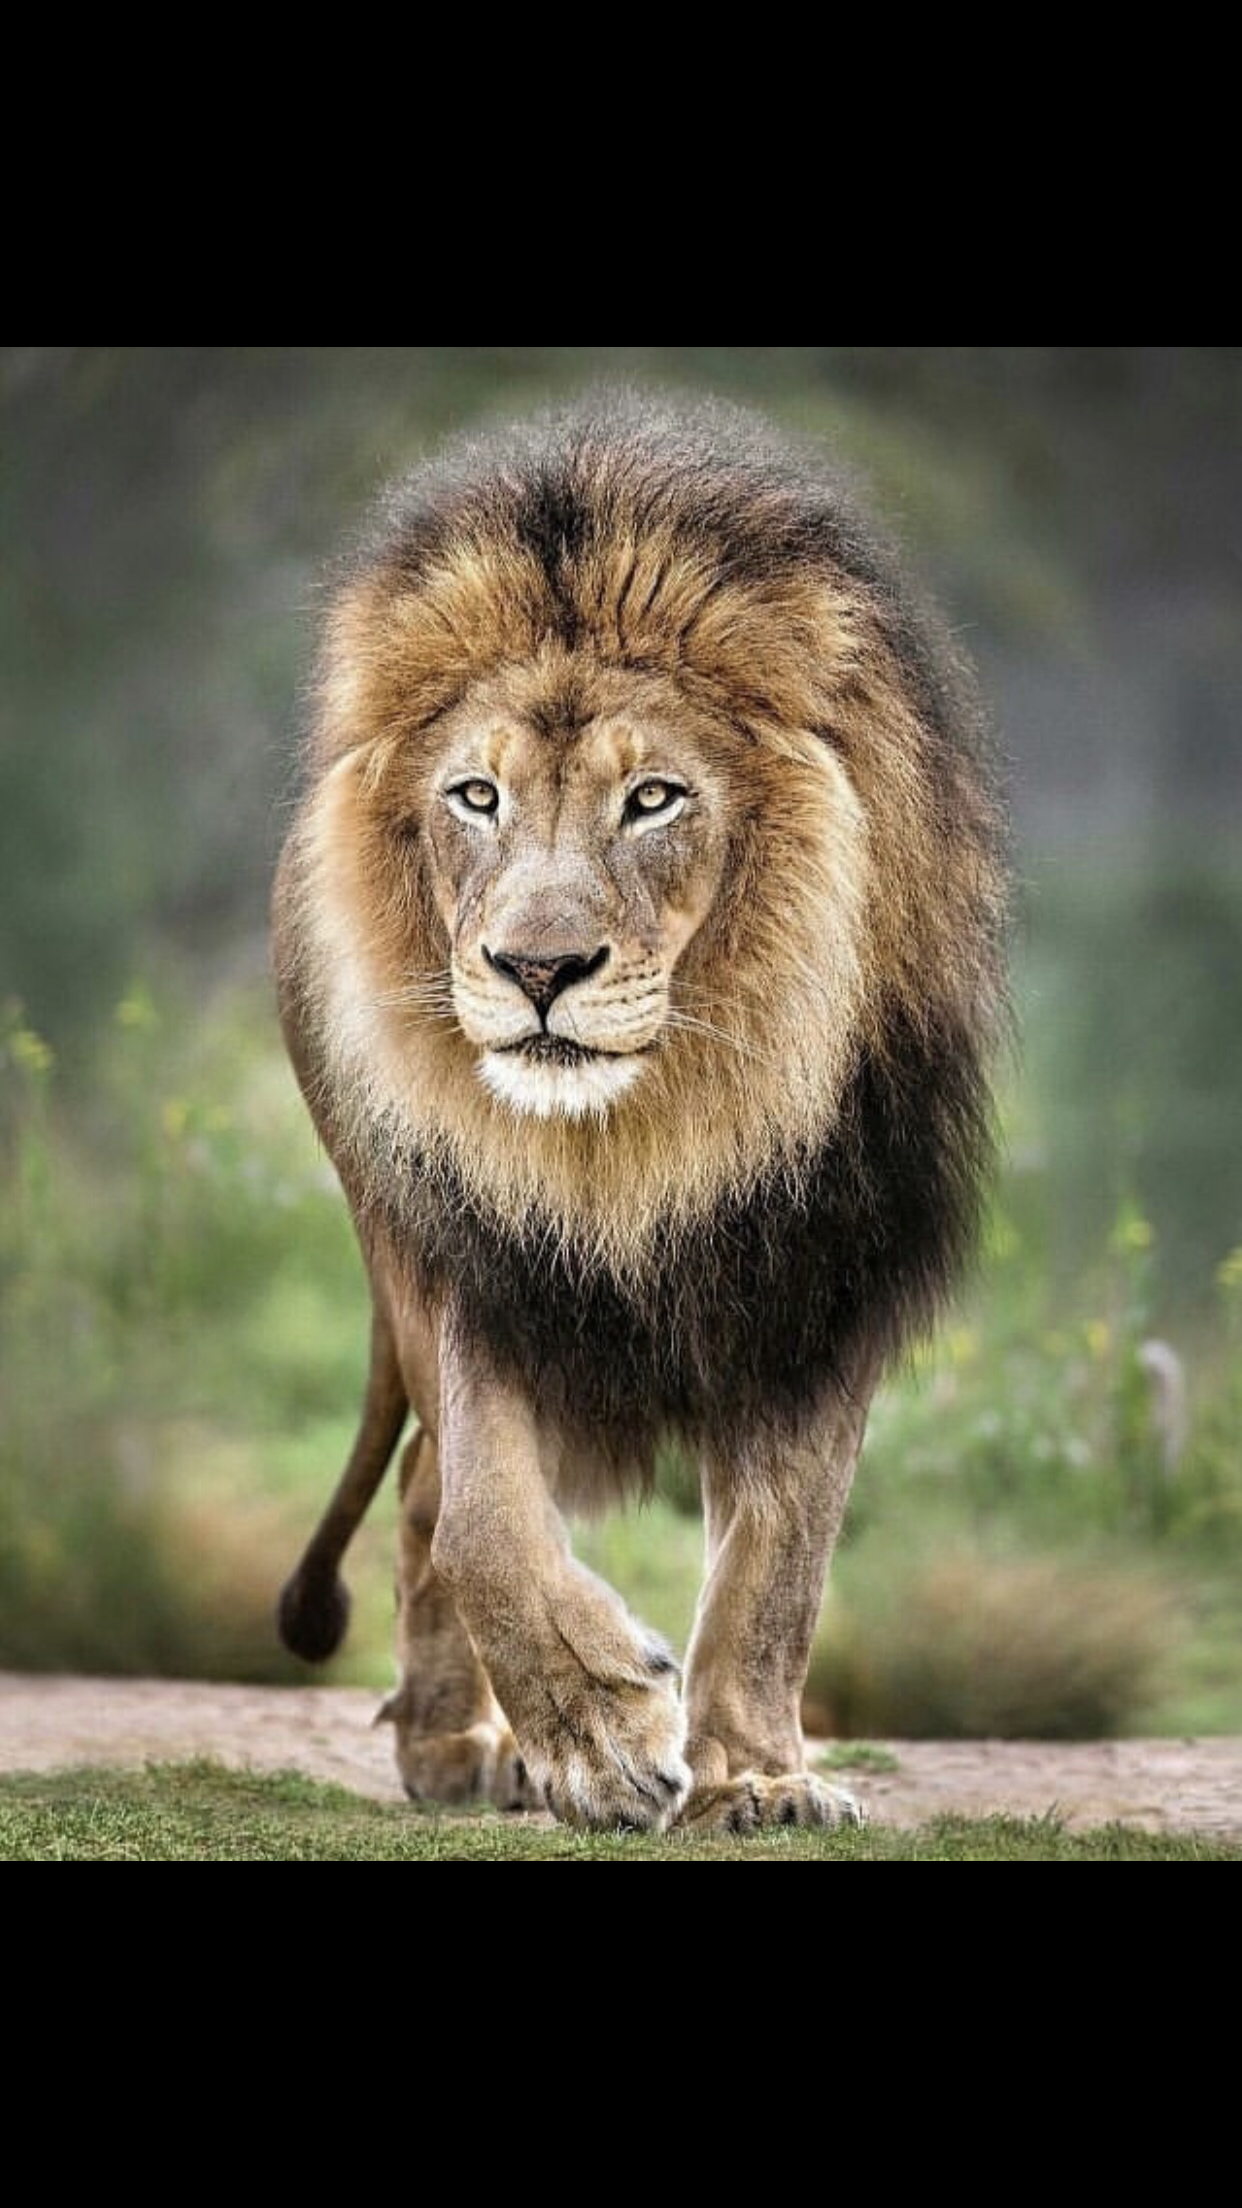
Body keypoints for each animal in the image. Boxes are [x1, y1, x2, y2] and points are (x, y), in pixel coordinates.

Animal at [273, 393, 1008, 1833]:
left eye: (653, 797)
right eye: (477, 795)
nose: (537, 970)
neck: (643, 1138)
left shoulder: (825, 1275)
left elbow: (781, 1561)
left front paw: (758, 1776)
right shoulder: (466, 1245)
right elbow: (487, 1521)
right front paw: (598, 1735)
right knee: (428, 1493)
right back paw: (458, 1747)